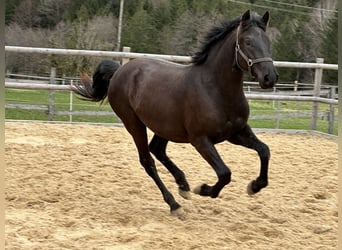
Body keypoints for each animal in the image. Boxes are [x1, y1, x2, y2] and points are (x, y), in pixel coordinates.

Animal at [73, 9, 278, 219]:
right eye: (248, 42)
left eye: (268, 41)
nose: (269, 78)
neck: (215, 90)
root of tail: (120, 71)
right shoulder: (201, 140)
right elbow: (224, 173)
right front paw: (203, 189)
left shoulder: (236, 132)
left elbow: (264, 151)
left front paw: (254, 186)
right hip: (133, 123)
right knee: (147, 161)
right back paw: (175, 205)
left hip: (165, 126)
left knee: (157, 149)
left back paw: (183, 186)